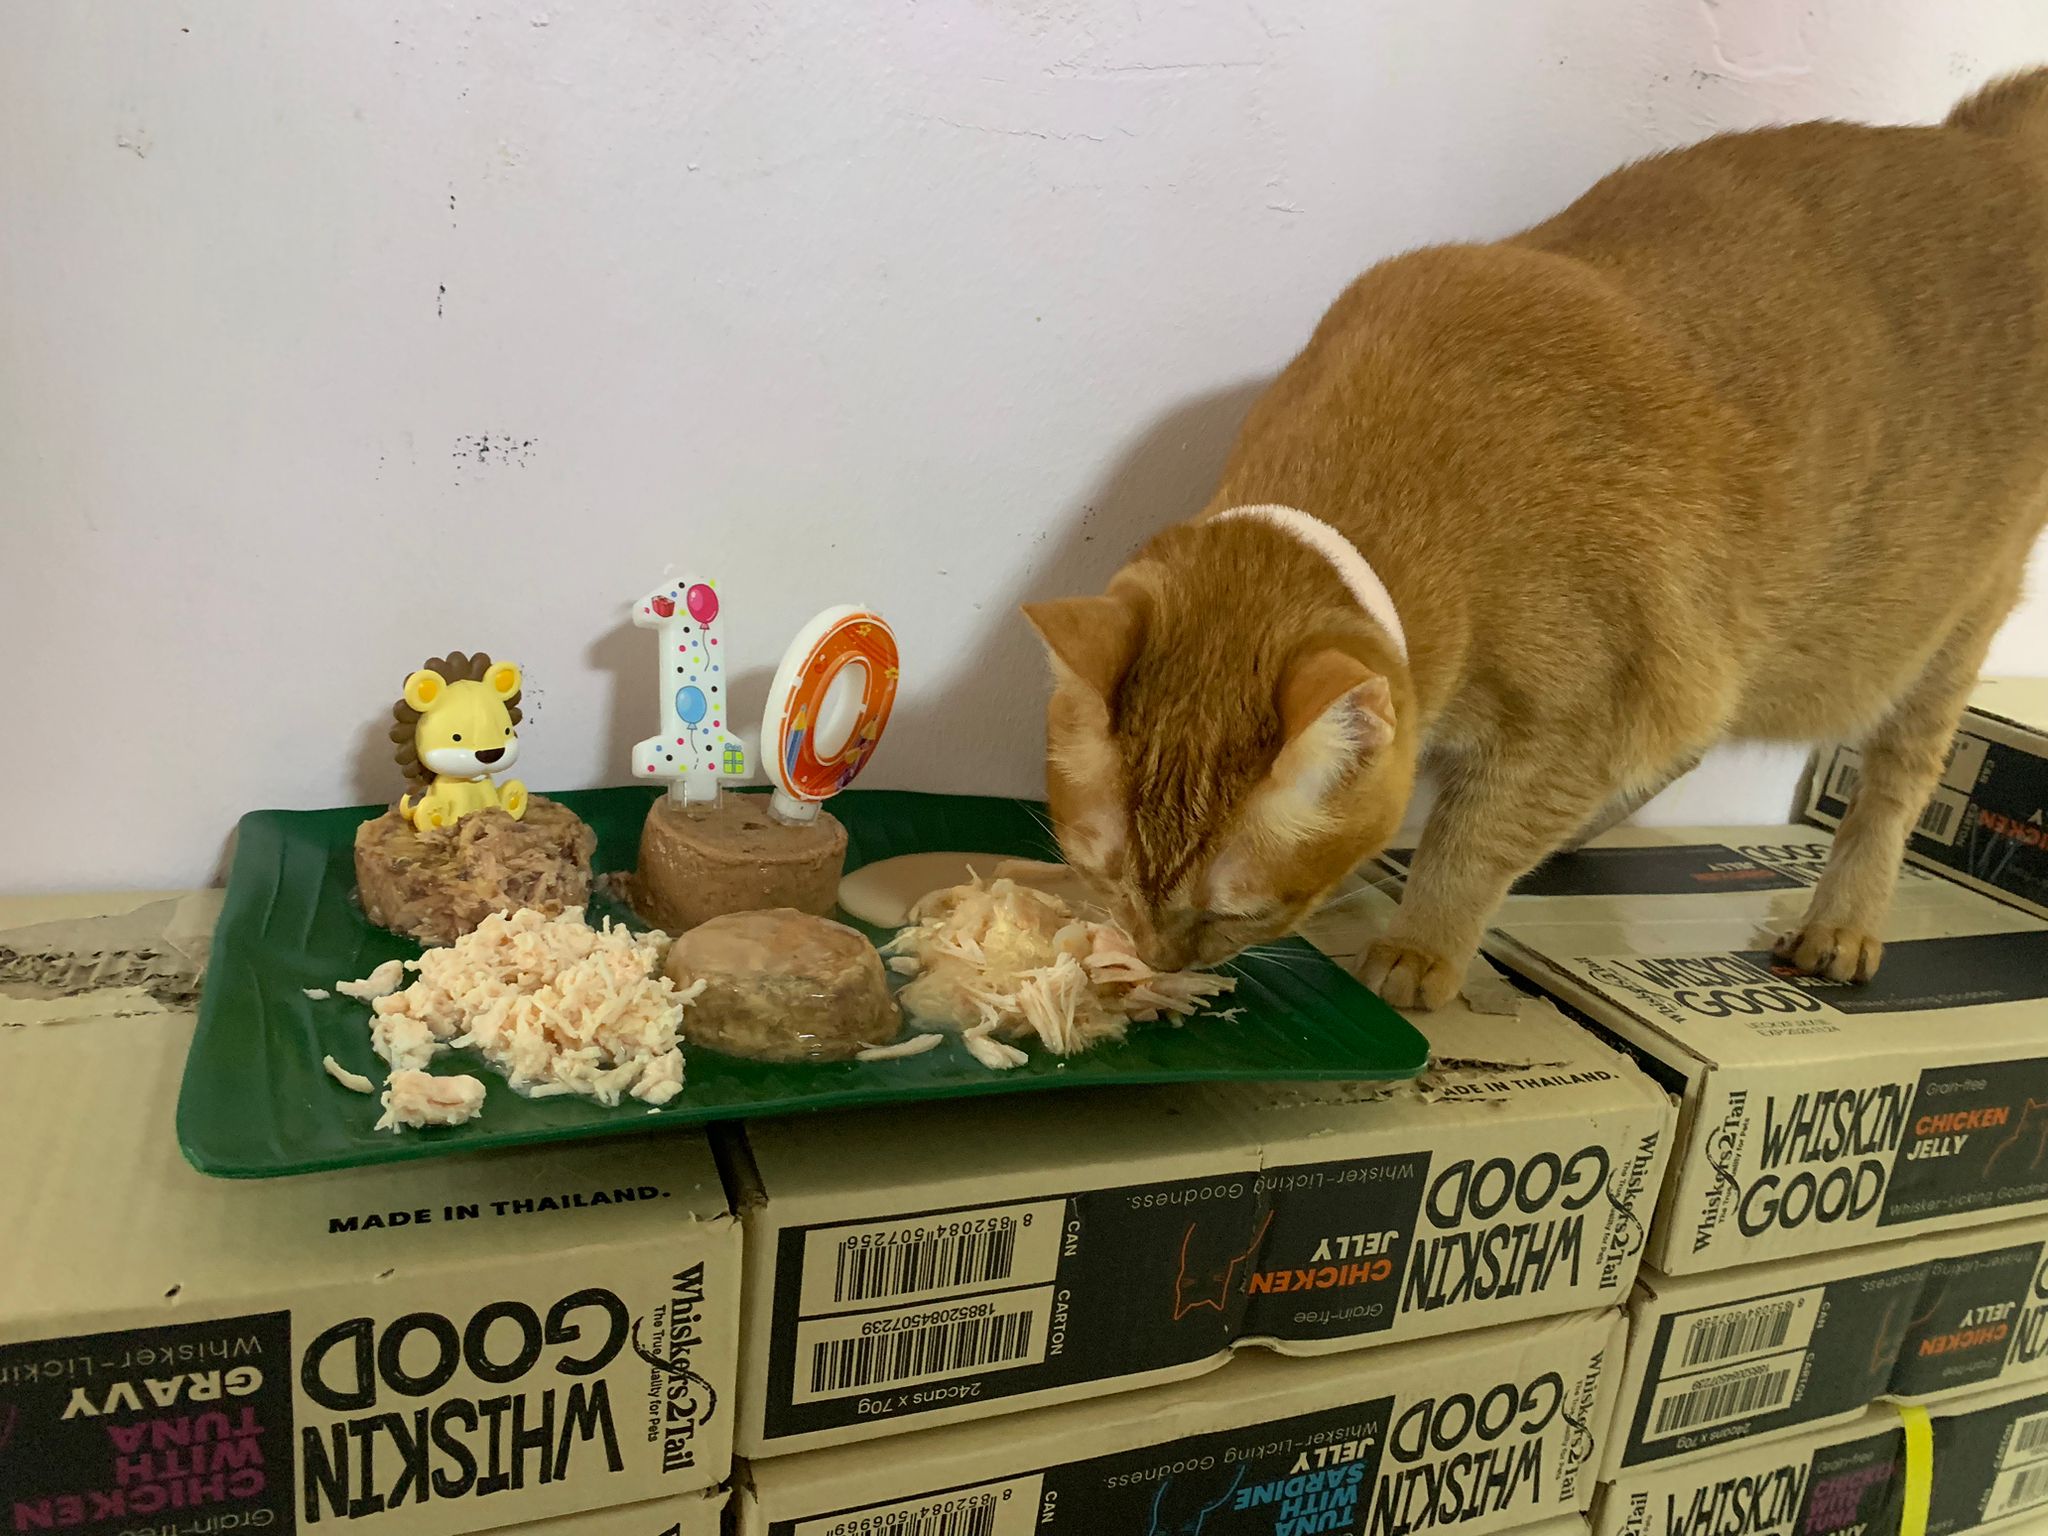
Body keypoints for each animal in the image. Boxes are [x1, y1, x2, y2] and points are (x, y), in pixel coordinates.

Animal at [1025, 70, 2048, 1010]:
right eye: (1106, 873)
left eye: (1232, 912)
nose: (1152, 955)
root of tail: (1980, 141)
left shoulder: (1593, 716)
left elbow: (1470, 843)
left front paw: (1422, 945)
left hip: (1942, 637)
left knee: (1895, 784)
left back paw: (1842, 922)